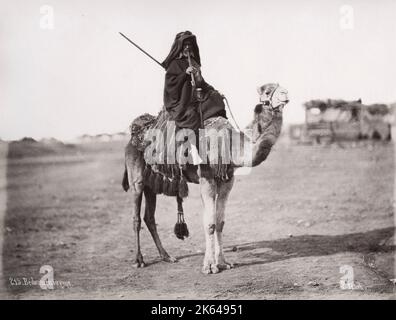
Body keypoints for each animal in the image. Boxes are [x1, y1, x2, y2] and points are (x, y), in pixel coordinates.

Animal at [122, 84, 290, 274]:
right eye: (267, 91)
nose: (285, 93)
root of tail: (134, 137)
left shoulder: (227, 180)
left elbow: (220, 222)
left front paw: (223, 262)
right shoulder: (206, 178)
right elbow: (209, 223)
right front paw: (209, 266)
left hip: (152, 183)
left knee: (149, 218)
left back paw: (166, 256)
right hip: (137, 179)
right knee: (136, 217)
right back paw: (139, 260)